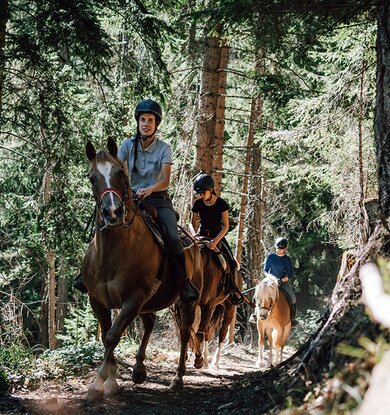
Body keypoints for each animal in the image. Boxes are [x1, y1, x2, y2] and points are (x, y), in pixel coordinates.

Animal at [82, 138, 204, 402]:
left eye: (120, 173)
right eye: (92, 178)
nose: (113, 212)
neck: (112, 253)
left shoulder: (133, 298)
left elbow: (112, 335)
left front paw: (98, 383)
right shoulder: (98, 300)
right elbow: (106, 336)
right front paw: (112, 381)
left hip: (185, 302)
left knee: (184, 332)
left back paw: (177, 379)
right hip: (148, 303)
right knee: (149, 322)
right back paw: (139, 370)